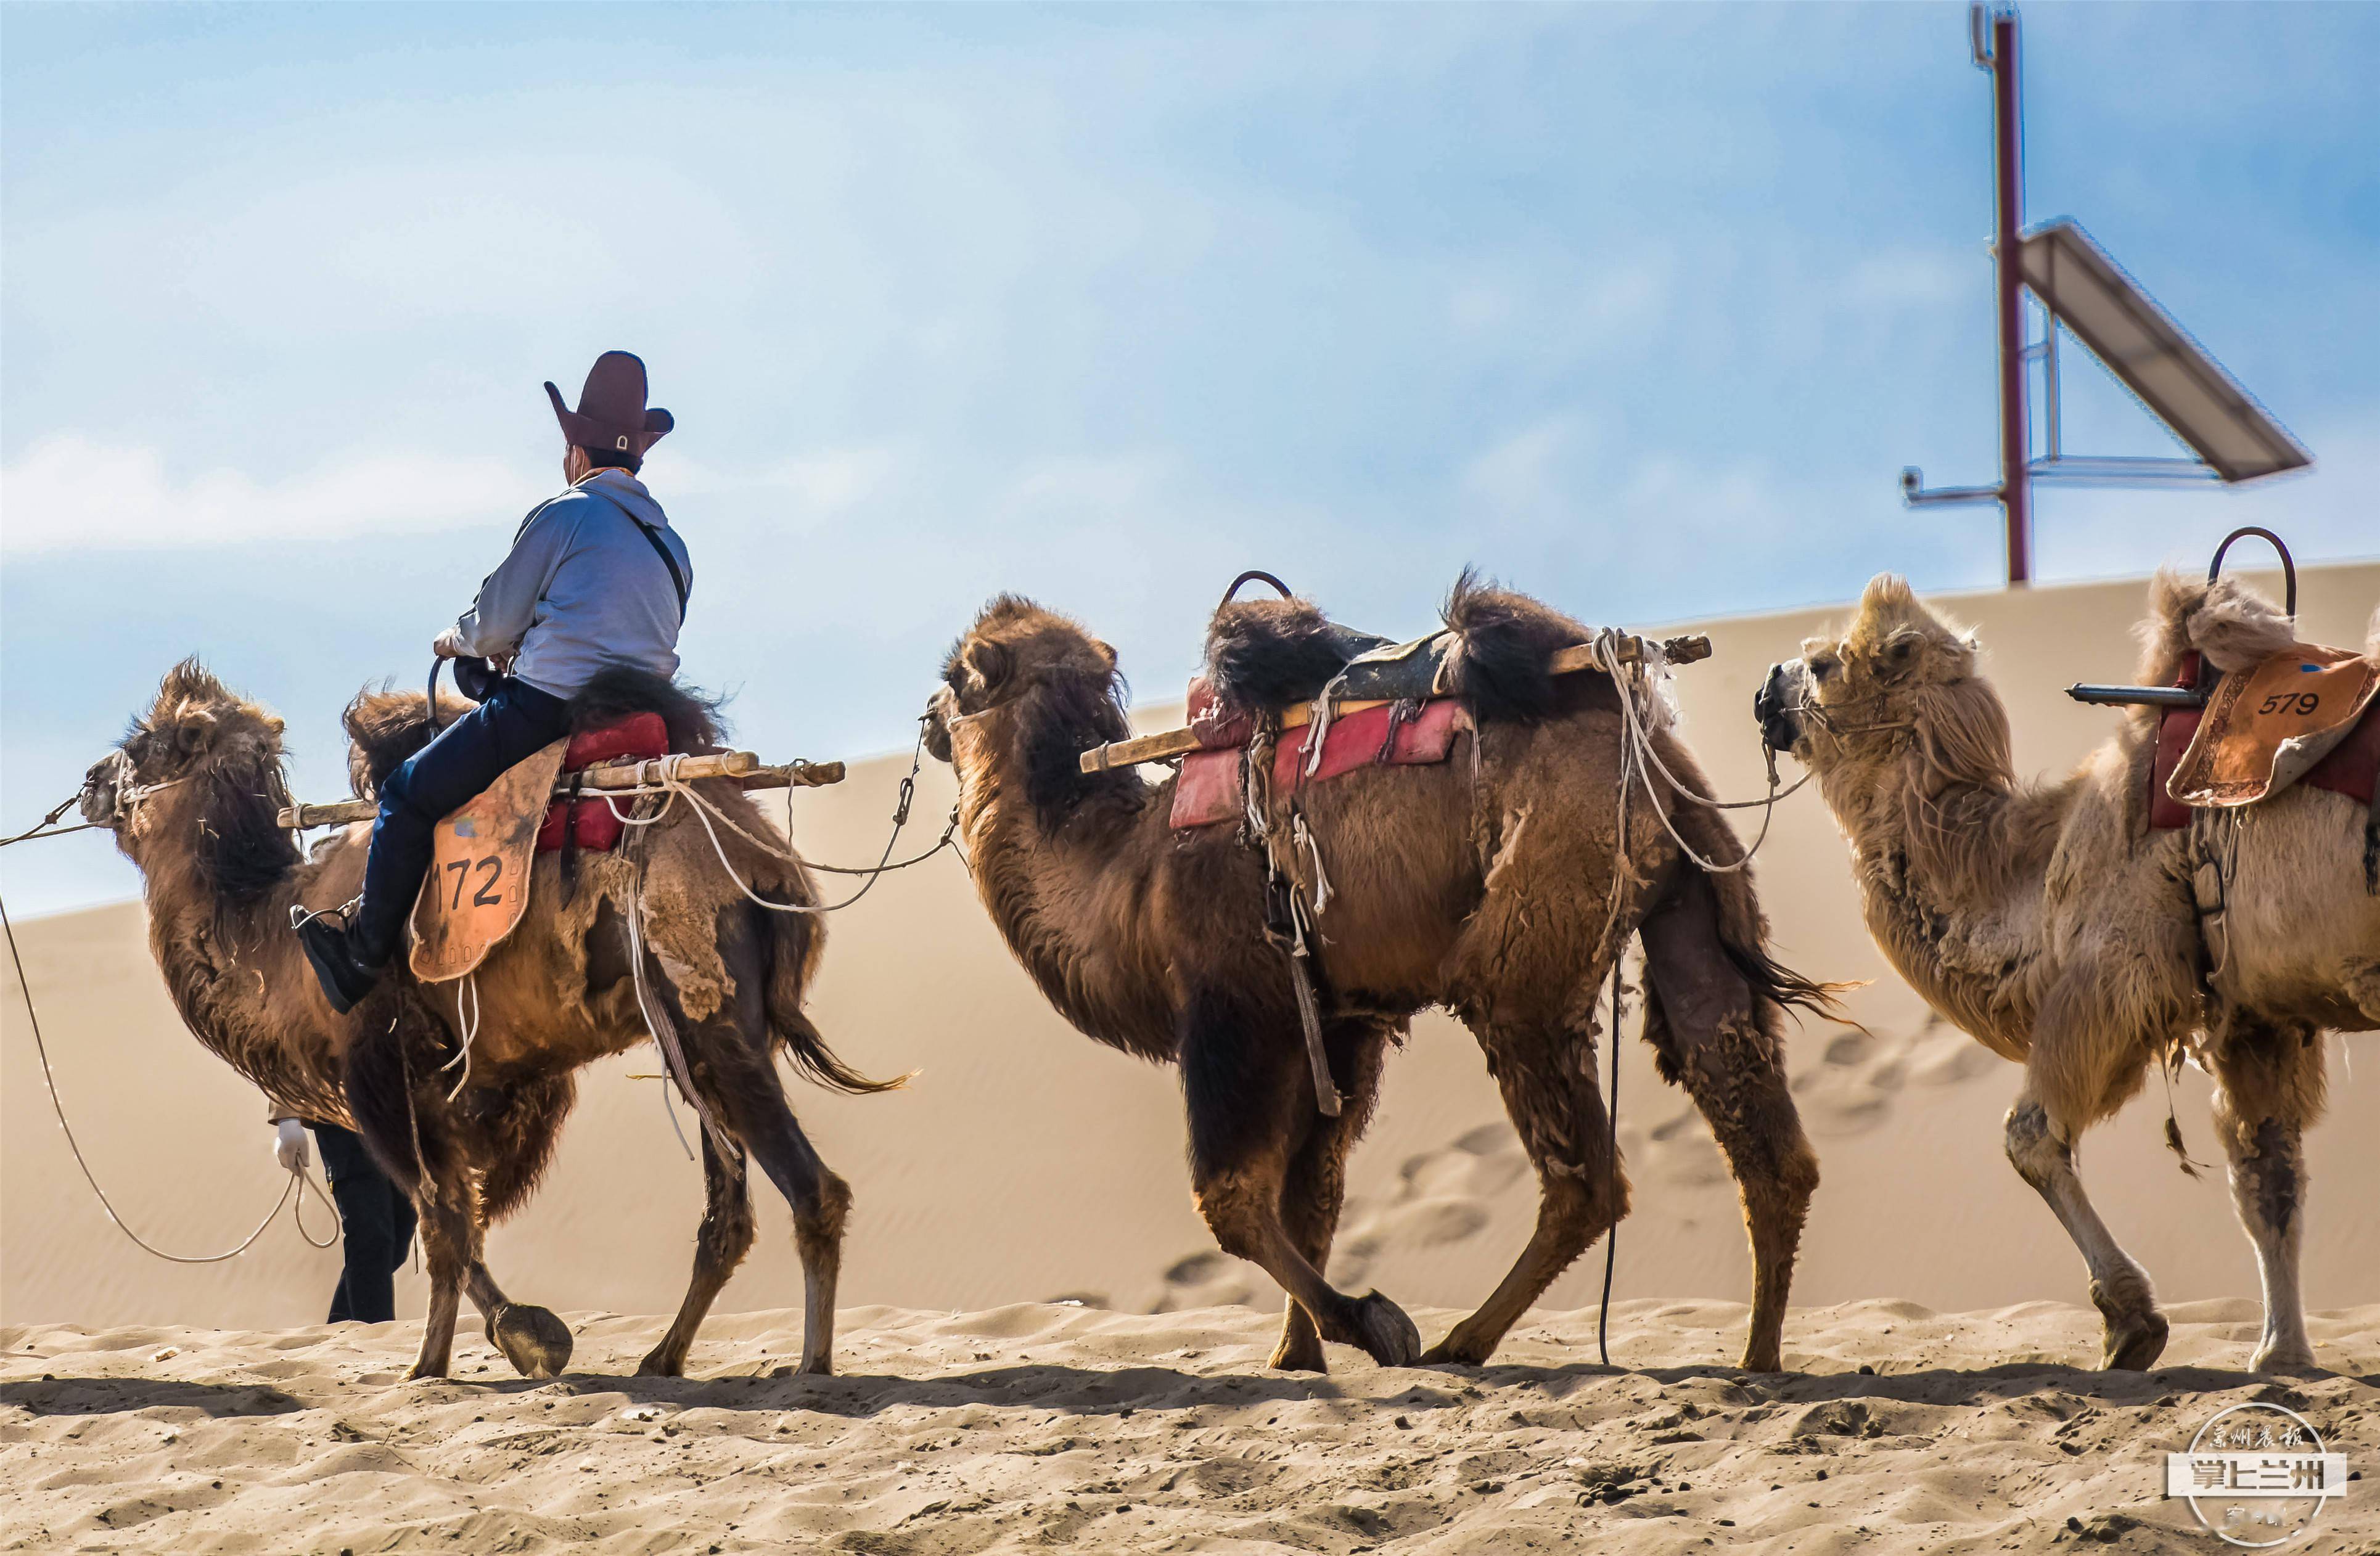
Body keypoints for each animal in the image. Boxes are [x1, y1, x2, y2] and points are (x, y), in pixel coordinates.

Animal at [81, 666, 895, 1380]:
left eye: (154, 740)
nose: (91, 783)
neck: (279, 930)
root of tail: (769, 862)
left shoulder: (381, 1070)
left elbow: (440, 1218)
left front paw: (447, 1360)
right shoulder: (467, 1081)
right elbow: (459, 1217)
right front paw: (522, 1336)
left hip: (713, 1011)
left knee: (812, 1187)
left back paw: (810, 1365)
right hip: (691, 1040)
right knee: (727, 1215)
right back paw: (663, 1358)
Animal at [918, 578, 1828, 1370]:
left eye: (956, 675)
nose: (925, 720)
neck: (1125, 874)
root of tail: (1638, 728)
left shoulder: (1235, 1005)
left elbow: (1232, 1198)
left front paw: (1367, 1322)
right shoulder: (1338, 1018)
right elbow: (1312, 1199)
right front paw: (1295, 1356)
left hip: (1529, 937)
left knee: (1585, 1175)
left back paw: (1464, 1341)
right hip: (1687, 890)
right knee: (1748, 1108)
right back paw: (1755, 1360)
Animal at [1751, 575, 2380, 1380]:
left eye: (1822, 664)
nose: (1764, 688)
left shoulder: (2112, 976)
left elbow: (2029, 1137)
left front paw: (2131, 1322)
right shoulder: (2252, 1016)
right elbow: (2266, 1174)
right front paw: (2281, 1356)